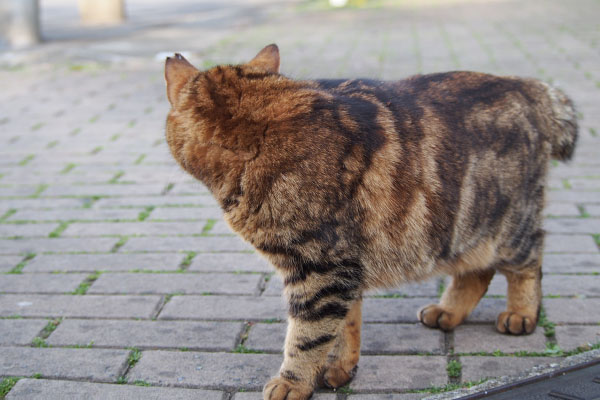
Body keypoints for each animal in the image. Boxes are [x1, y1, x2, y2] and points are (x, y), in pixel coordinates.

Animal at [163, 44, 576, 400]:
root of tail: (527, 85)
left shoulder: (319, 269)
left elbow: (307, 335)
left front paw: (294, 381)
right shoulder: (344, 268)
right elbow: (344, 326)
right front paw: (337, 368)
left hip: (507, 227)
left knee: (529, 262)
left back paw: (521, 313)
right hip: (460, 233)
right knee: (478, 272)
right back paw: (447, 312)